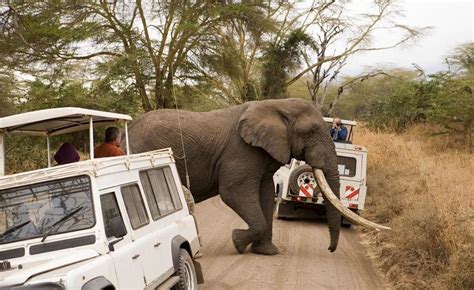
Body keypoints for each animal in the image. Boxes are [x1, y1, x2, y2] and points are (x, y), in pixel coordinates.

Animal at [126, 98, 388, 255]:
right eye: (311, 131)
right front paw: (237, 241)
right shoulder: (242, 150)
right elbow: (233, 192)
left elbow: (264, 194)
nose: (330, 249)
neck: (278, 105)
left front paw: (266, 252)